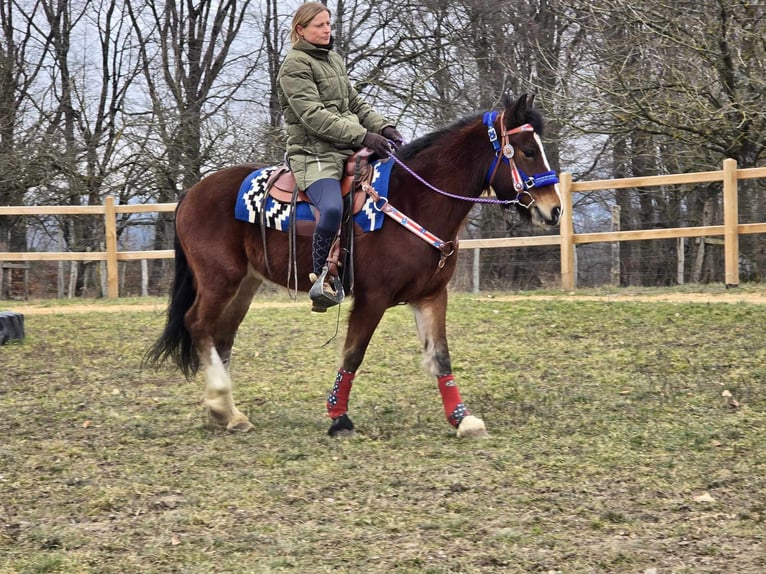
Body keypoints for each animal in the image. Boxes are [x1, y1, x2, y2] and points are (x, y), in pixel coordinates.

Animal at [146, 94, 564, 438]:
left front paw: (462, 419)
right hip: (220, 279)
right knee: (199, 324)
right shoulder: (372, 298)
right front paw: (338, 417)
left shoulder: (431, 296)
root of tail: (192, 194)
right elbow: (353, 354)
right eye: (528, 150)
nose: (554, 209)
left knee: (222, 336)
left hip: (245, 285)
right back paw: (220, 401)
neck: (414, 200)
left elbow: (441, 357)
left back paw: (228, 413)